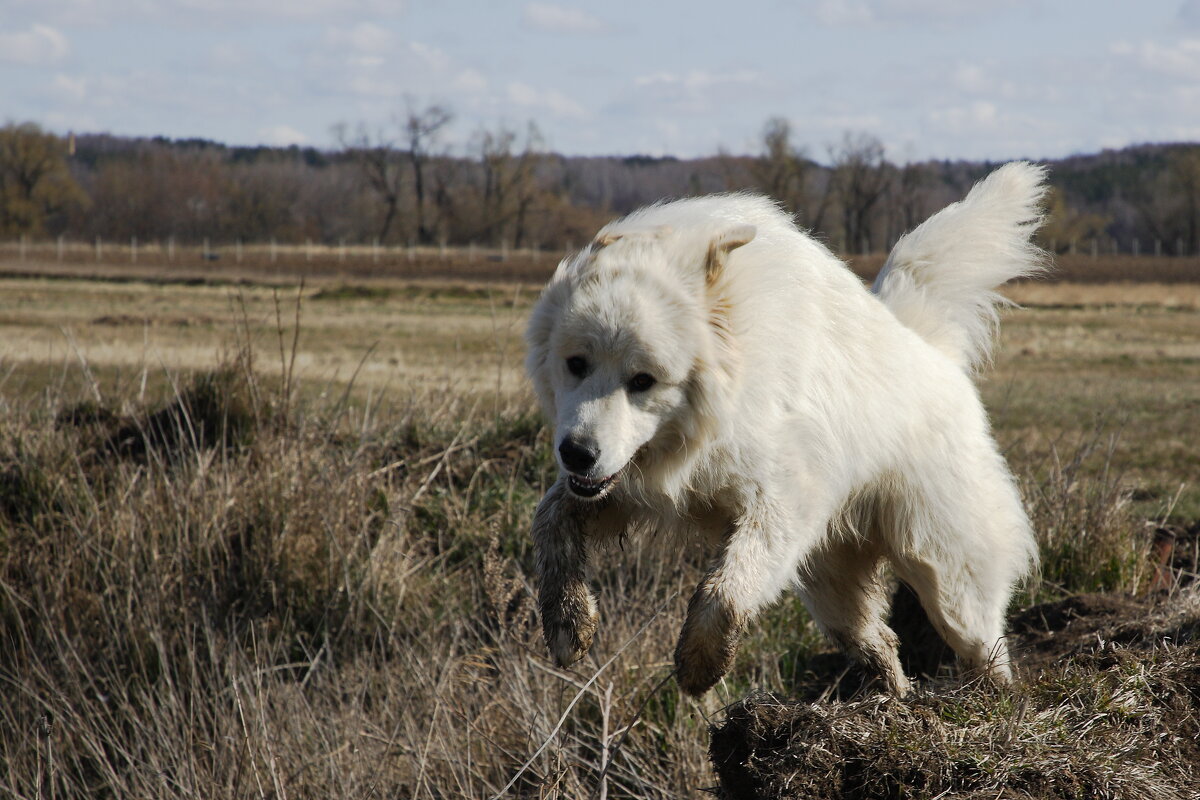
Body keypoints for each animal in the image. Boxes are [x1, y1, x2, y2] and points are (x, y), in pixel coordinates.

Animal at [523, 163, 1041, 695]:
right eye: (576, 364)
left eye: (642, 380)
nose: (576, 452)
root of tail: (935, 351)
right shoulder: (633, 484)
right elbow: (549, 519)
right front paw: (568, 623)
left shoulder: (783, 499)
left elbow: (724, 591)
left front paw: (699, 662)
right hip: (829, 581)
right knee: (878, 639)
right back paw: (892, 698)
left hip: (945, 574)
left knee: (985, 644)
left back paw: (996, 699)